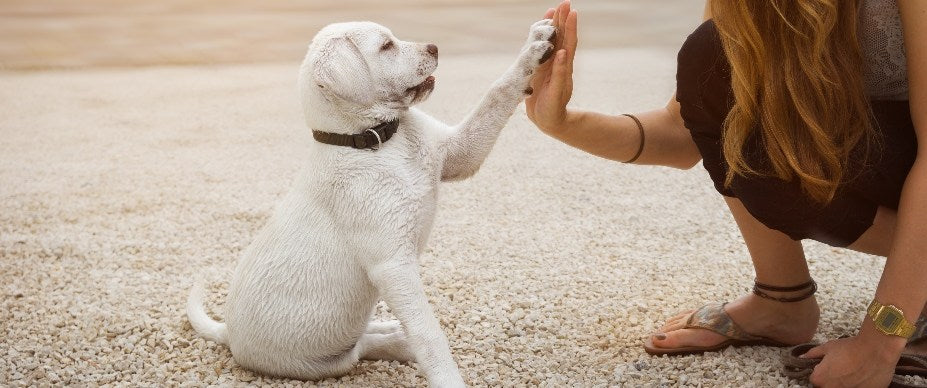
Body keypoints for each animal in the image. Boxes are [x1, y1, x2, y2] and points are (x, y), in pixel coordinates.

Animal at [185, 19, 556, 386]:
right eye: (386, 46)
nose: (434, 47)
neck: (376, 141)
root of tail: (228, 334)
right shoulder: (393, 265)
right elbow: (428, 333)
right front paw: (448, 378)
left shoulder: (459, 153)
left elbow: (496, 93)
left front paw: (533, 48)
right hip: (323, 363)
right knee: (361, 348)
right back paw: (398, 341)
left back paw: (391, 330)